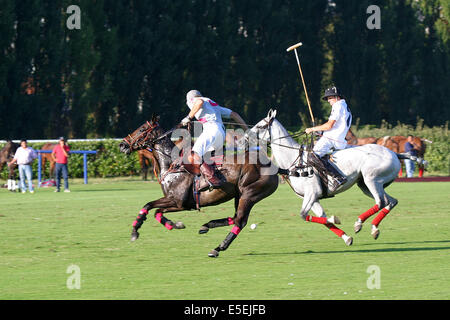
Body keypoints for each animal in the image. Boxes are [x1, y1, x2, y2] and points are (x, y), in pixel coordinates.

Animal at [118, 115, 278, 258]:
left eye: (142, 129)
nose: (122, 145)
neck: (172, 165)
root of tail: (274, 167)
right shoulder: (177, 203)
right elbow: (157, 211)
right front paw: (174, 224)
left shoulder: (178, 202)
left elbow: (148, 205)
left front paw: (135, 231)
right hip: (239, 195)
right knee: (235, 217)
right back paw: (206, 226)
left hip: (249, 194)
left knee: (240, 221)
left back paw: (218, 248)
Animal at [251, 110, 402, 245]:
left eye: (260, 126)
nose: (247, 137)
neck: (294, 160)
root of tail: (394, 154)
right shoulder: (312, 198)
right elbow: (321, 218)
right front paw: (346, 238)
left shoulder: (312, 193)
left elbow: (304, 215)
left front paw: (335, 219)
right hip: (365, 184)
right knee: (391, 201)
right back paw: (374, 229)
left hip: (371, 179)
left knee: (381, 202)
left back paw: (358, 223)